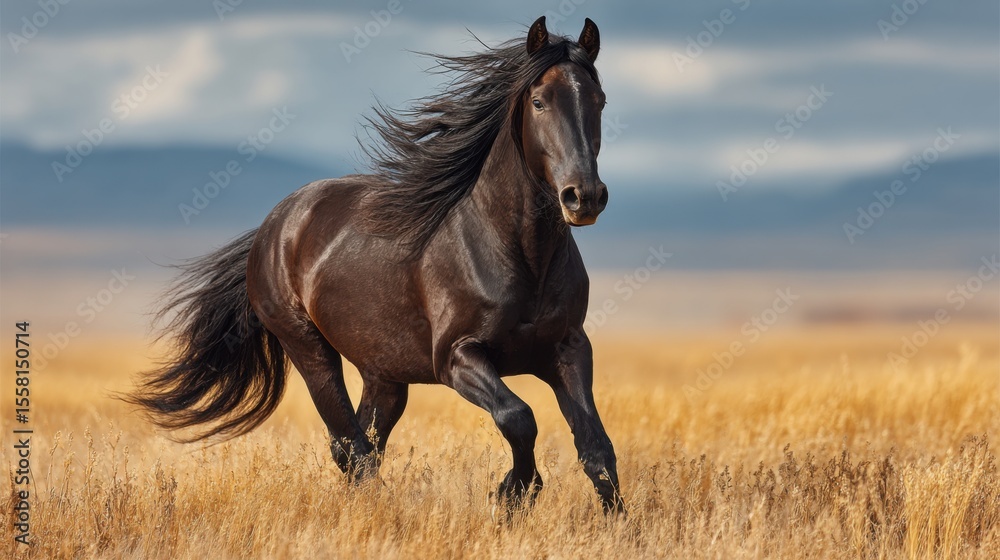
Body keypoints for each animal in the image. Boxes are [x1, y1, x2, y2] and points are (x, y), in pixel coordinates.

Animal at [128, 16, 624, 513]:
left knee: (366, 440)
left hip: (384, 374)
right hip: (310, 350)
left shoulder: (568, 348)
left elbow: (596, 446)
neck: (519, 254)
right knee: (351, 445)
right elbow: (518, 417)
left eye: (599, 101)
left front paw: (611, 517)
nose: (584, 196)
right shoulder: (456, 358)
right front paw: (513, 491)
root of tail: (275, 224)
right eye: (539, 102)